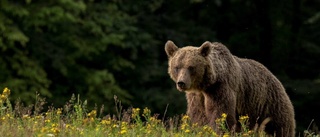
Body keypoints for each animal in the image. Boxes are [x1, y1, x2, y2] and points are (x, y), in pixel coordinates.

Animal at [165, 40, 296, 136]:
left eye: (191, 67)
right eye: (177, 67)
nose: (181, 83)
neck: (206, 85)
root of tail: (274, 77)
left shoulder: (221, 89)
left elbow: (221, 114)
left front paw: (219, 131)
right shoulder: (197, 96)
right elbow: (199, 115)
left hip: (269, 103)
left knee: (280, 127)